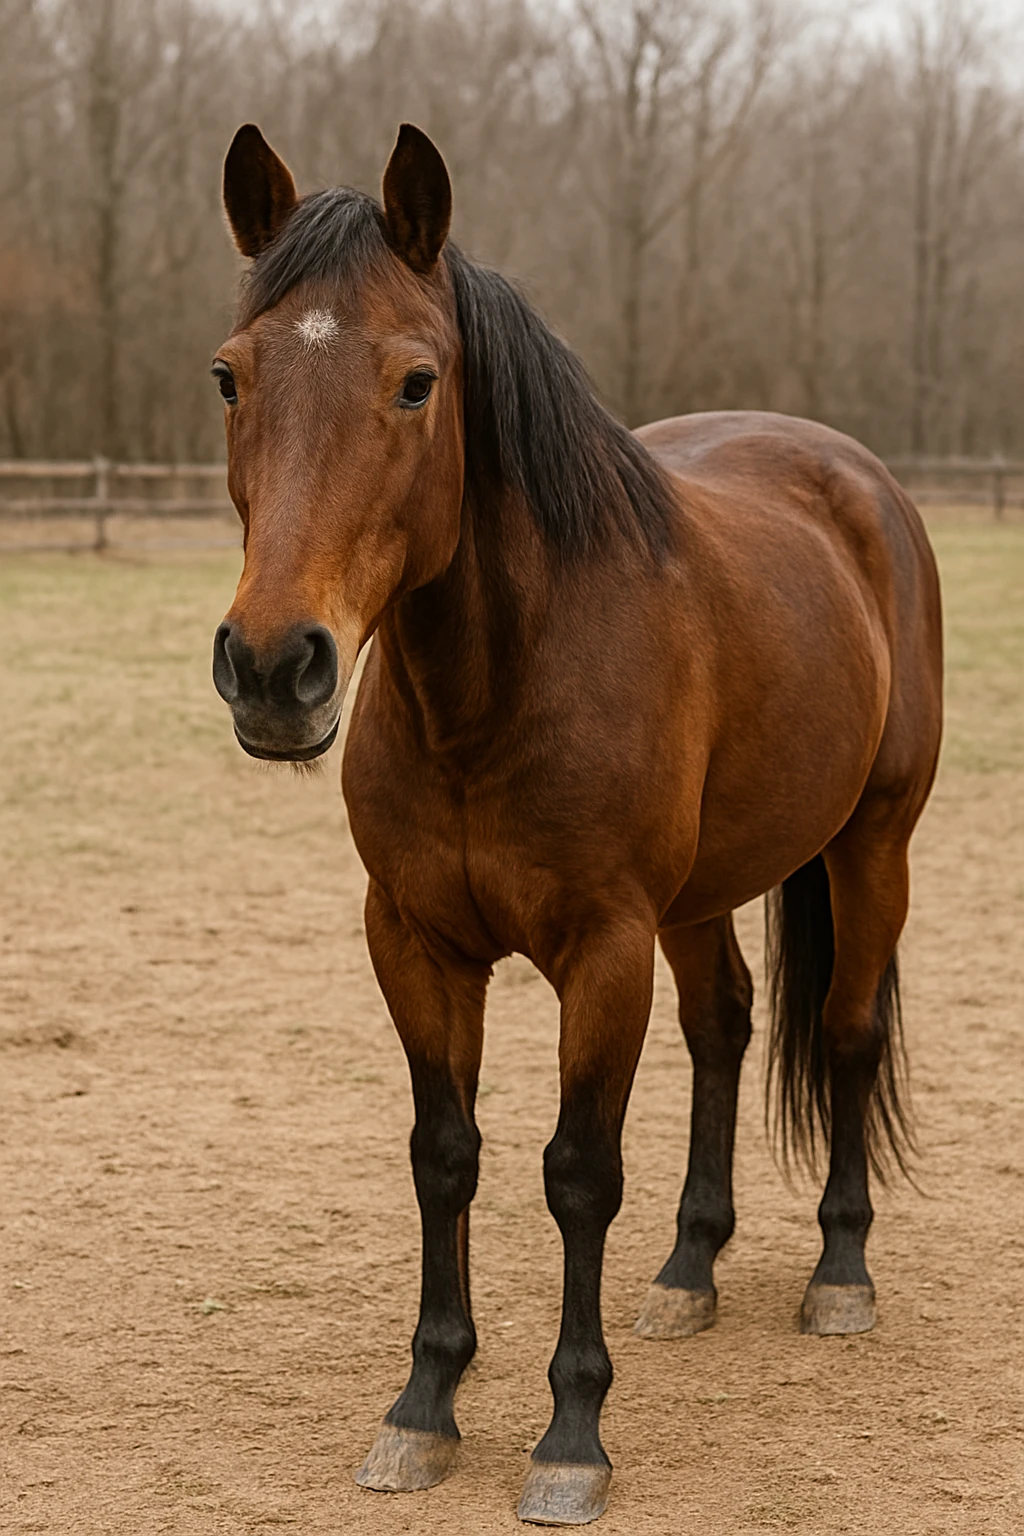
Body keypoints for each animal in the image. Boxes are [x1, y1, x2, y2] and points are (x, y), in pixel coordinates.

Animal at [210, 121, 942, 1526]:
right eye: (229, 376)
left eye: (416, 383)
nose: (275, 667)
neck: (496, 683)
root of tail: (853, 479)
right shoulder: (415, 943)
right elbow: (445, 1154)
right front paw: (424, 1405)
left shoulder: (601, 950)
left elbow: (576, 1172)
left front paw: (569, 1434)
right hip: (704, 895)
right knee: (725, 1027)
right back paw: (688, 1272)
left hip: (872, 845)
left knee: (844, 1030)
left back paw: (840, 1276)